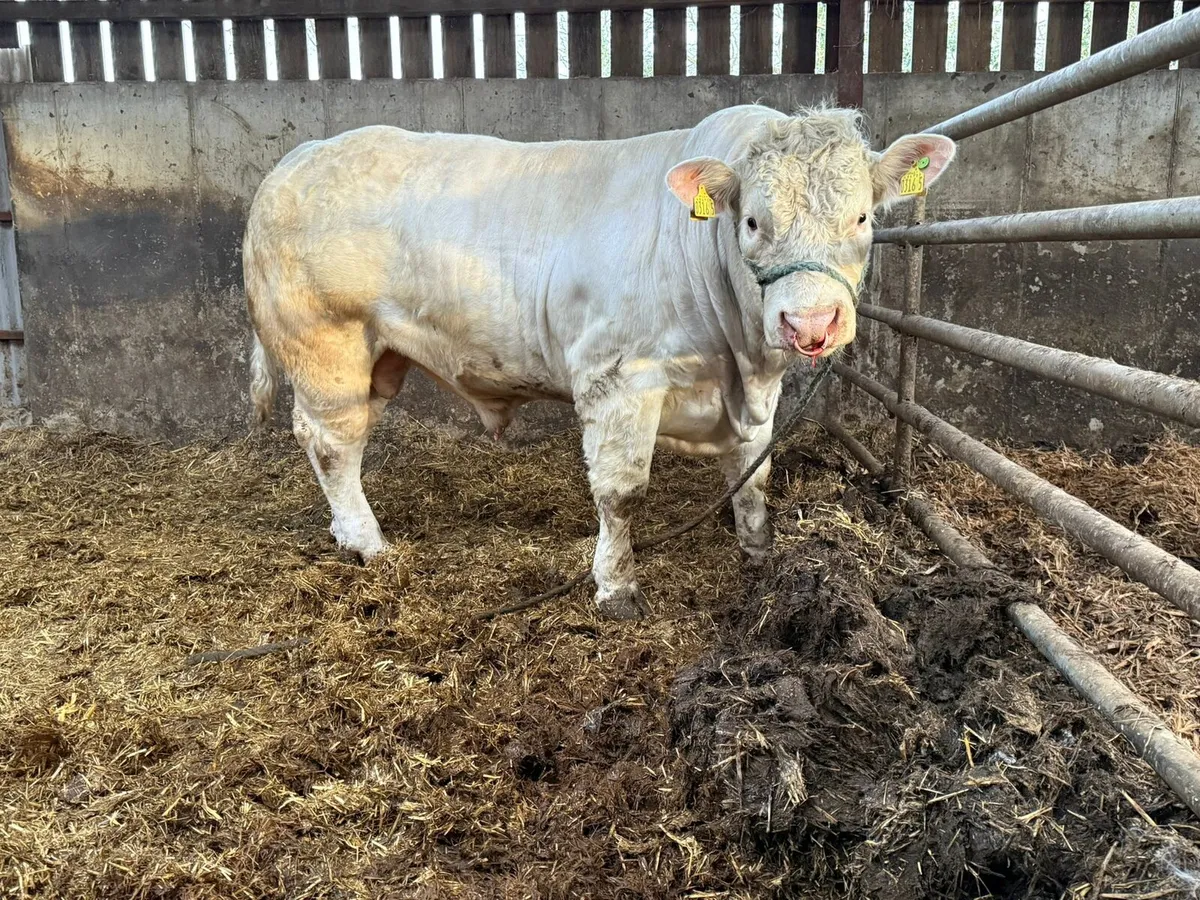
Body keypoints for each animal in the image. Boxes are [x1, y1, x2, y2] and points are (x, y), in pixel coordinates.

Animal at [244, 104, 955, 619]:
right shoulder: (619, 380)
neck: (736, 361)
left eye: (861, 217)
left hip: (379, 356)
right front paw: (616, 589)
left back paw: (347, 533)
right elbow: (621, 492)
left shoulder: (755, 394)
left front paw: (760, 556)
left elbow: (754, 475)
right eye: (753, 222)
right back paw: (370, 544)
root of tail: (297, 160)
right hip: (327, 343)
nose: (809, 323)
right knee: (331, 443)